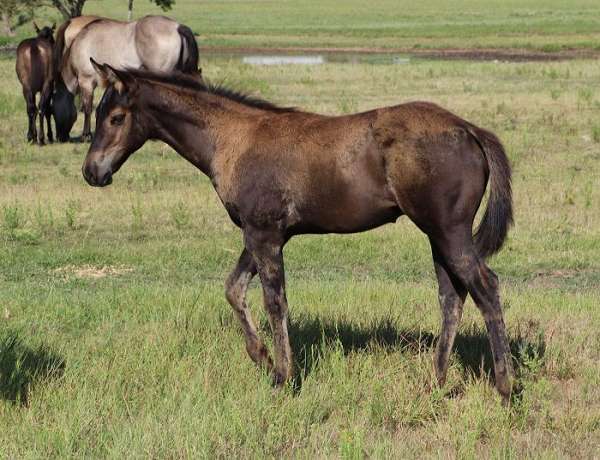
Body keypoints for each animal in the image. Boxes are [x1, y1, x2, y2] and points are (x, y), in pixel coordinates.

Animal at [54, 14, 199, 140]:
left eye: (52, 110)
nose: (61, 137)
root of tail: (178, 27)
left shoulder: (86, 81)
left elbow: (87, 107)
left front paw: (86, 135)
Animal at [82, 63, 516, 400]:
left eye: (116, 118)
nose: (91, 172)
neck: (234, 139)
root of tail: (469, 129)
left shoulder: (264, 235)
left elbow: (274, 302)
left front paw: (283, 377)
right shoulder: (259, 234)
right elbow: (233, 289)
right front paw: (261, 357)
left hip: (448, 230)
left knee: (486, 286)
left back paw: (505, 386)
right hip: (435, 234)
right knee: (452, 294)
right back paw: (436, 381)